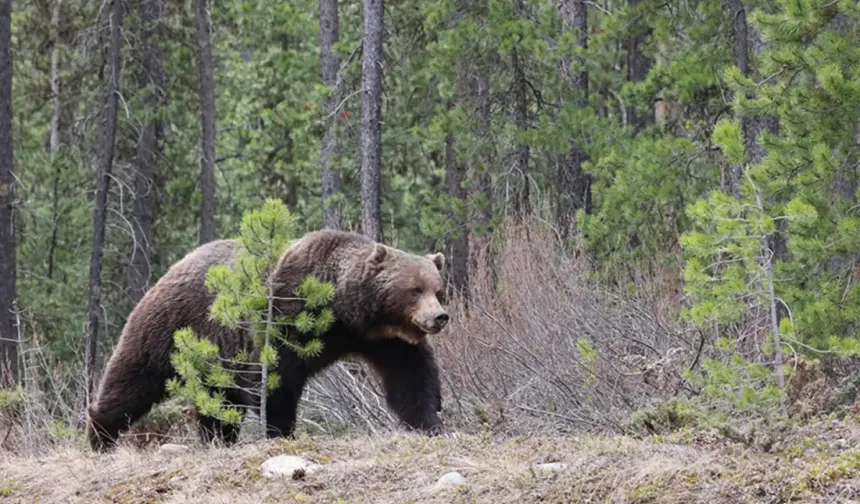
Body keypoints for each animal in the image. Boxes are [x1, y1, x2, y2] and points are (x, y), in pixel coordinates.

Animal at [86, 230, 450, 450]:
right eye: (414, 289)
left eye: (437, 289)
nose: (439, 317)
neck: (343, 309)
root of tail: (176, 264)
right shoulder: (285, 315)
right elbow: (276, 379)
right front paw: (280, 431)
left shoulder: (383, 339)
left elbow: (410, 376)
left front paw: (430, 422)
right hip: (170, 327)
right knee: (133, 379)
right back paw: (101, 434)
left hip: (214, 356)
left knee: (217, 402)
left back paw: (218, 438)